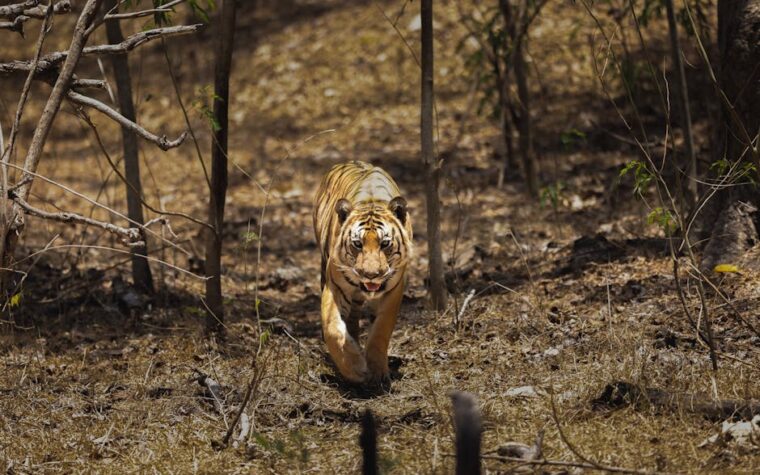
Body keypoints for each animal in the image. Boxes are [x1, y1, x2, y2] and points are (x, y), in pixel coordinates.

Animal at [313, 161, 413, 385]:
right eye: (357, 244)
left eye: (385, 244)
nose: (371, 274)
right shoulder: (335, 287)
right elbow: (333, 329)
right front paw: (355, 369)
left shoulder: (393, 291)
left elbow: (380, 331)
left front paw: (376, 371)